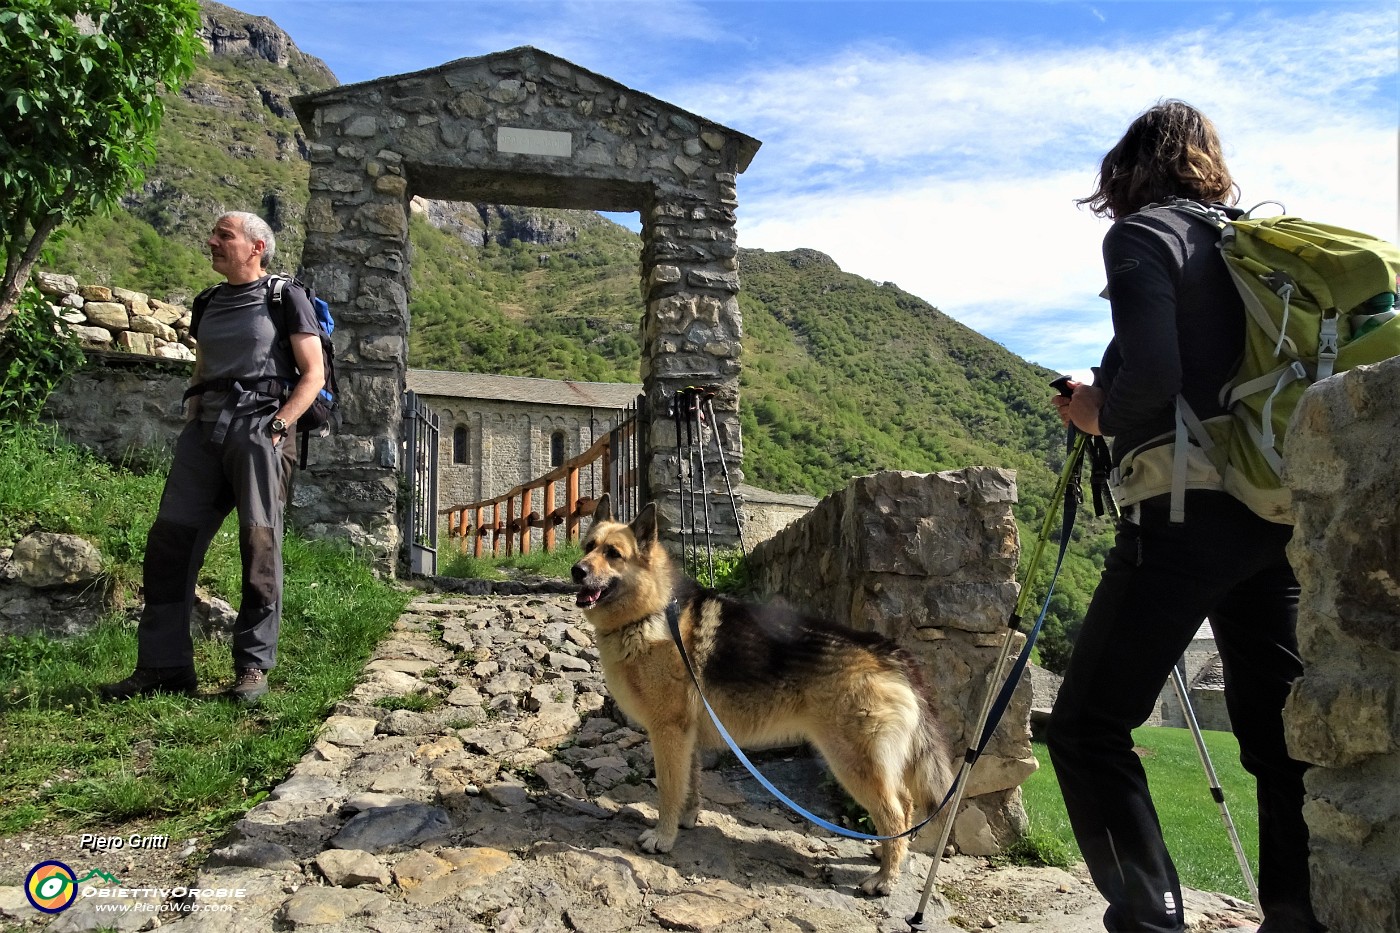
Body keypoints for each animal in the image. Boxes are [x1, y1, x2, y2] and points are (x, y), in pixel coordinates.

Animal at [568, 493, 952, 896]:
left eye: (614, 553)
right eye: (589, 547)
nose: (577, 571)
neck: (651, 611)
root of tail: (890, 652)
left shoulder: (668, 733)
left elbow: (670, 790)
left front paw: (663, 837)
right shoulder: (686, 738)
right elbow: (690, 786)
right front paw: (686, 821)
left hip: (853, 763)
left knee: (894, 813)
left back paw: (886, 877)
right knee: (904, 805)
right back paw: (886, 854)